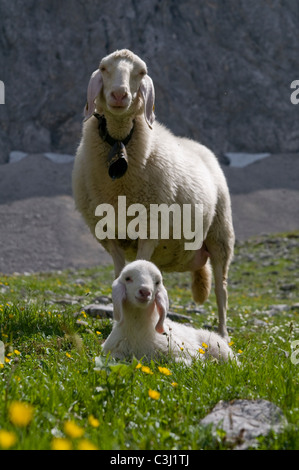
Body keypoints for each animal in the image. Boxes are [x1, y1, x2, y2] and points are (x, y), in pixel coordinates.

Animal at [72, 48, 234, 342]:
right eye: (103, 68)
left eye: (141, 72)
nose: (119, 95)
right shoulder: (110, 236)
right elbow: (120, 274)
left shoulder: (149, 230)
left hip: (221, 235)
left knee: (221, 290)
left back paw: (223, 333)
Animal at [103, 260, 237, 364]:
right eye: (128, 278)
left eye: (157, 282)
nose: (145, 292)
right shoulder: (113, 351)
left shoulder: (185, 351)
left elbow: (181, 361)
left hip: (220, 349)